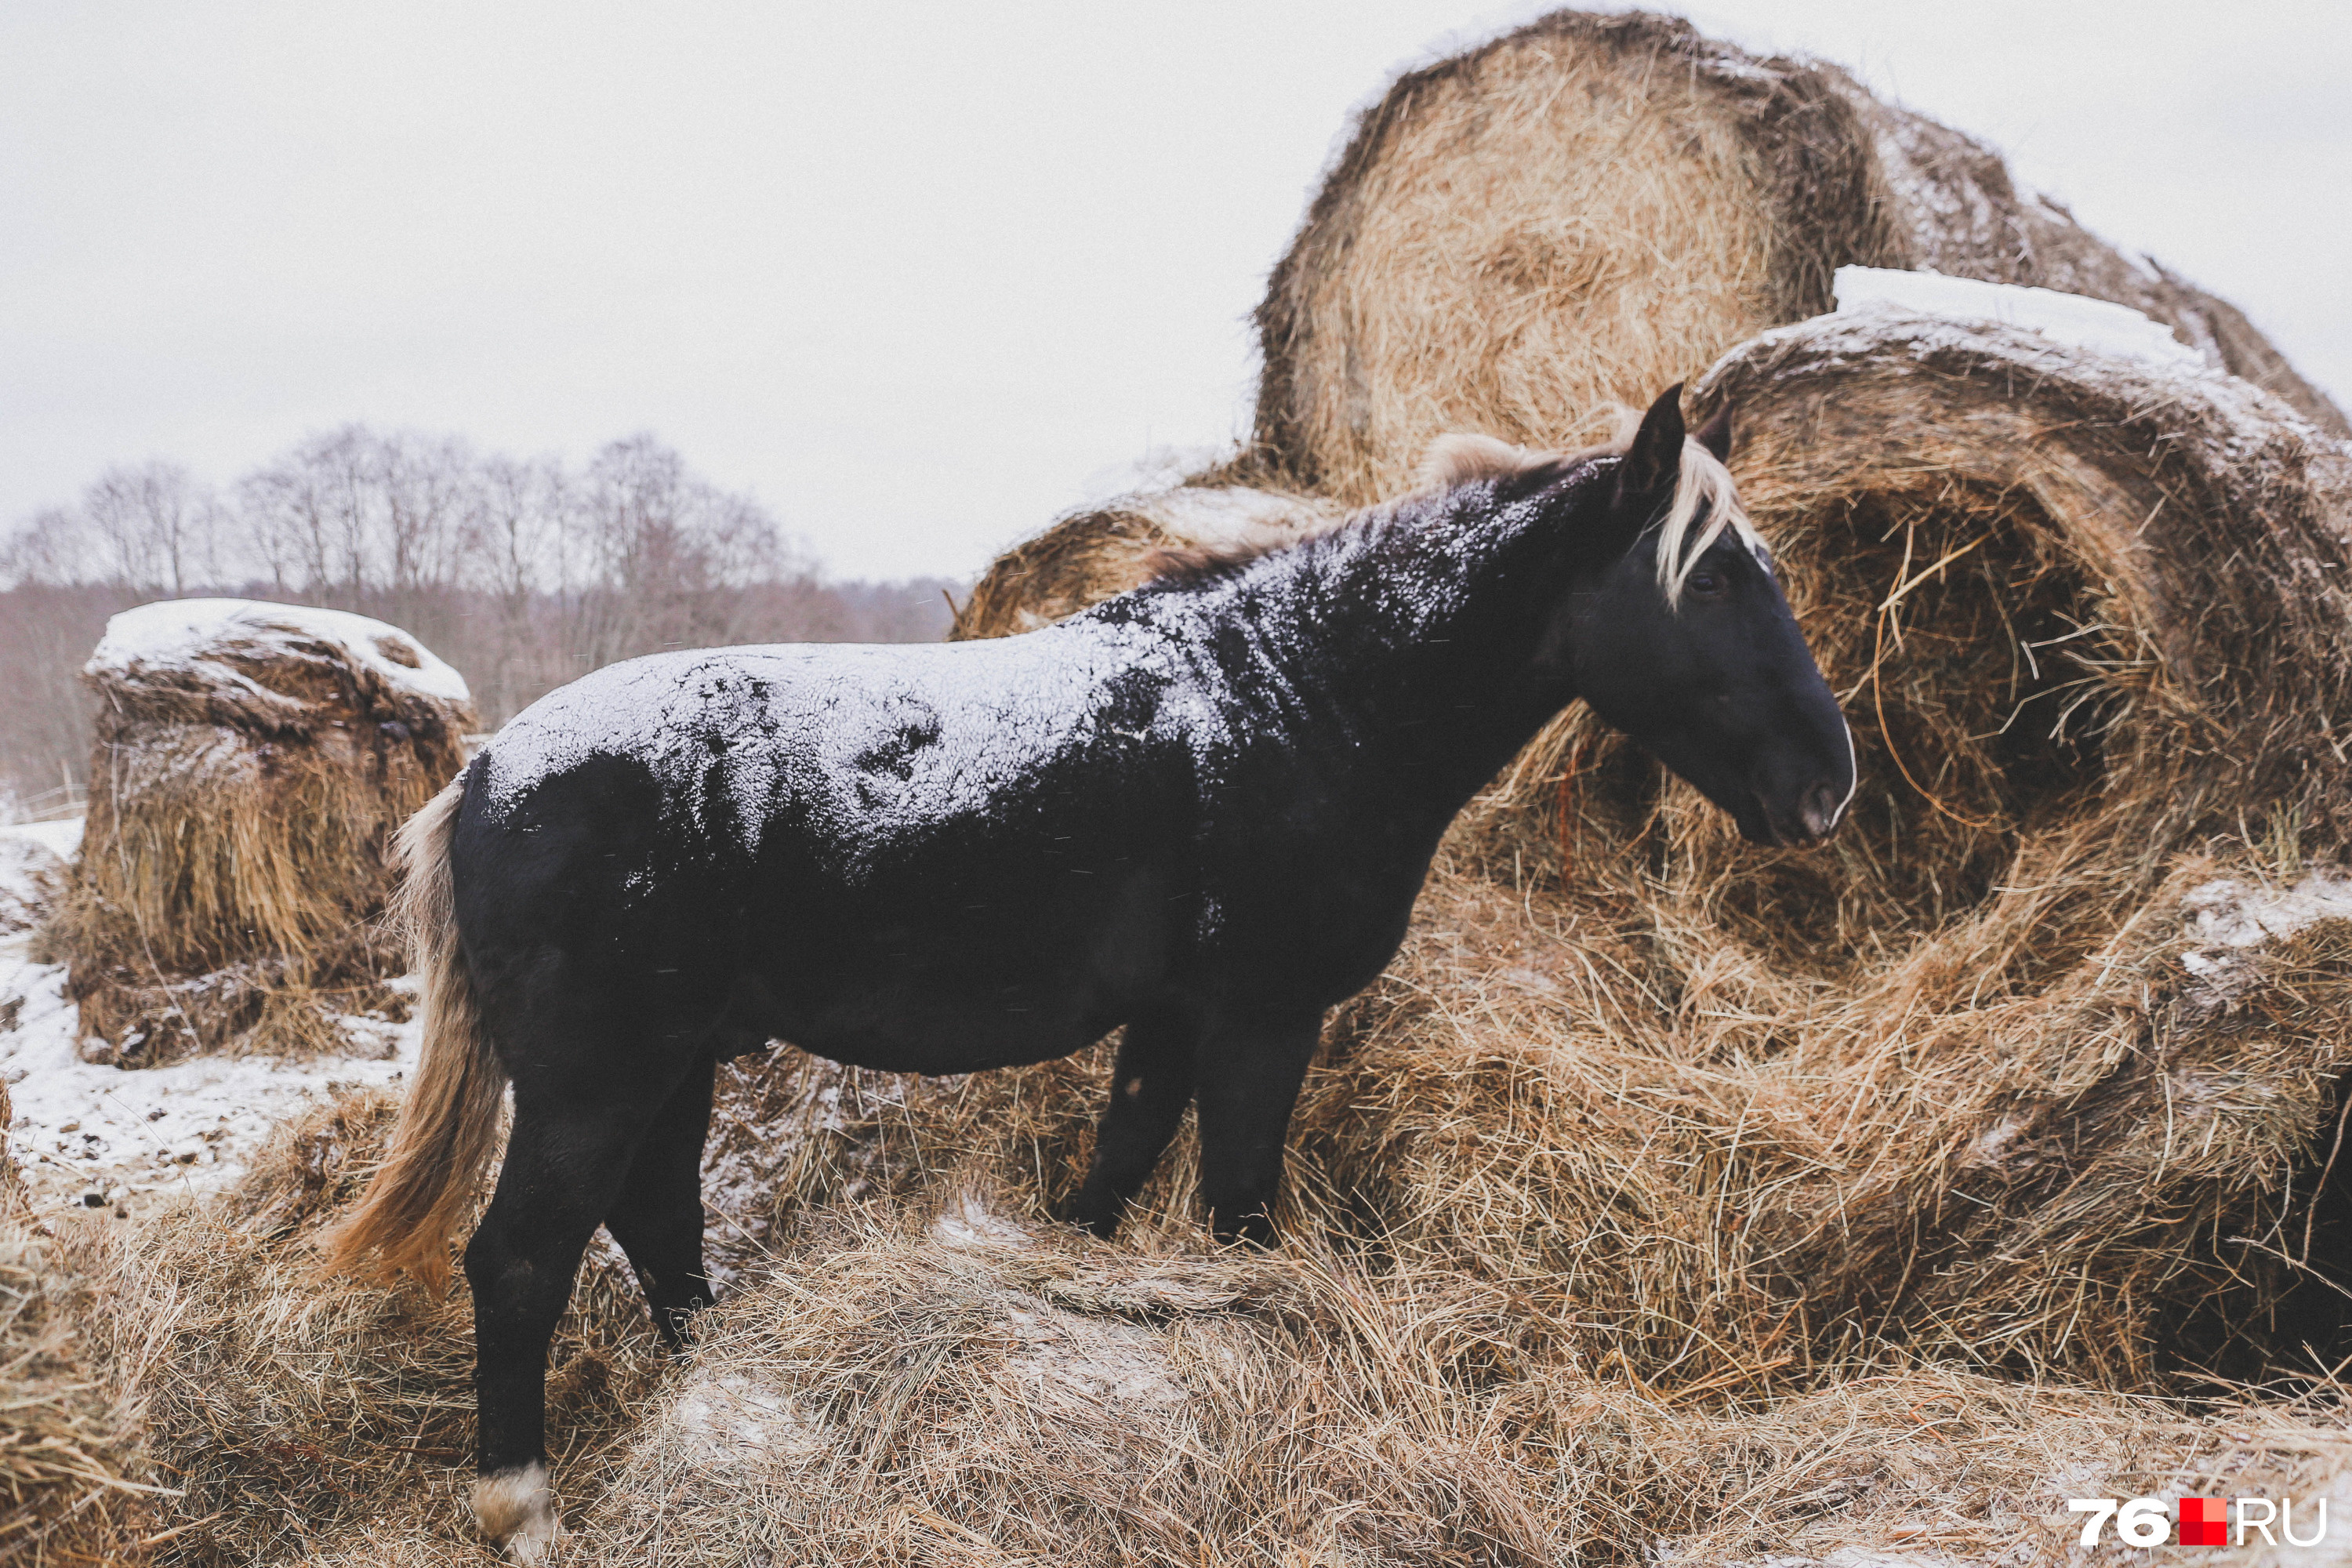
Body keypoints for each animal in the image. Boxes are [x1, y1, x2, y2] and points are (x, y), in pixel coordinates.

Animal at [322, 390, 1853, 1561]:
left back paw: (731, 1405)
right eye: (1716, 576)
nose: (1827, 786)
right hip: (597, 1079)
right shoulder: (1257, 1022)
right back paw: (523, 1509)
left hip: (673, 1066)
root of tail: (484, 777)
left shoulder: (1170, 1023)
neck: (1298, 697)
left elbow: (1109, 1187)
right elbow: (1238, 1213)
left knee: (659, 1228)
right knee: (524, 1261)